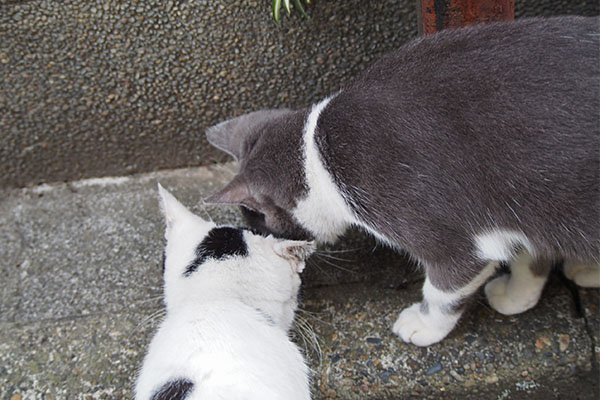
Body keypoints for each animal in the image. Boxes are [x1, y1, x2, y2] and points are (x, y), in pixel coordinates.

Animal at [205, 17, 600, 346]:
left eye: (257, 221)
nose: (261, 239)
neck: (318, 156)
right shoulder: (523, 213)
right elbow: (530, 256)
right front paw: (519, 296)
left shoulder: (449, 237)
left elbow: (445, 287)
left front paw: (423, 326)